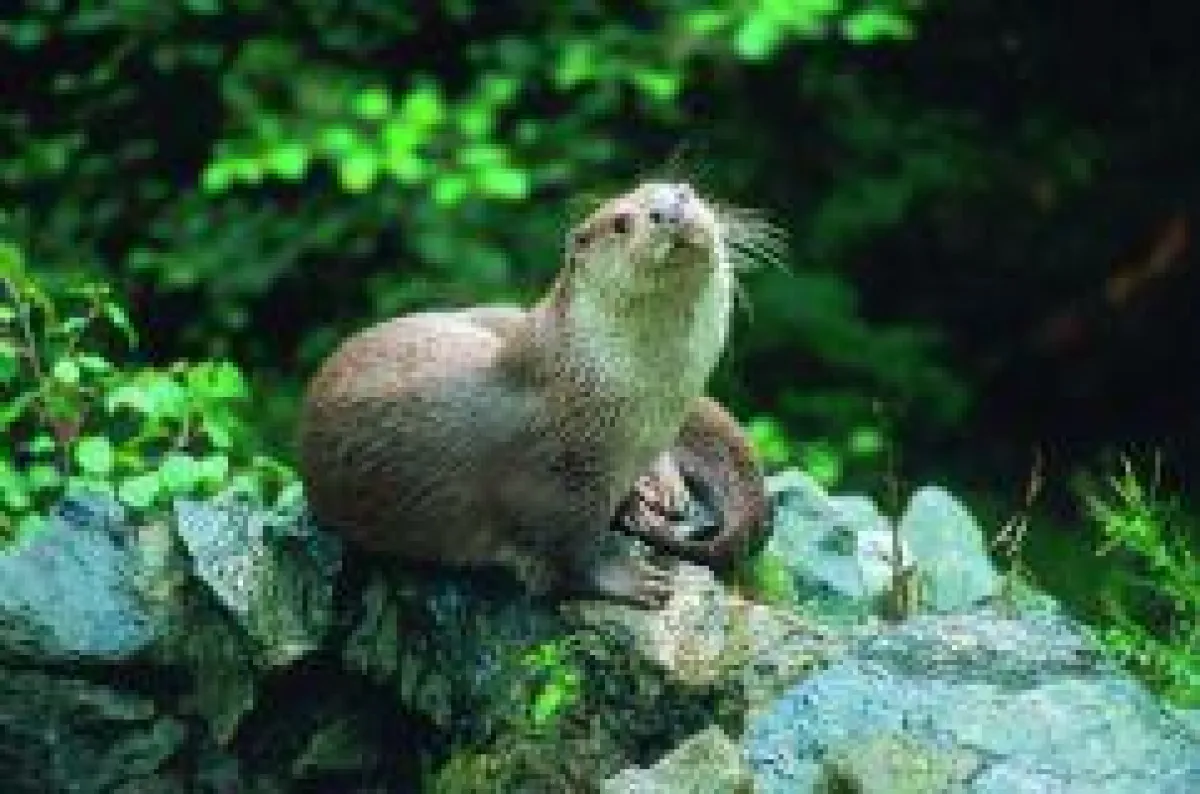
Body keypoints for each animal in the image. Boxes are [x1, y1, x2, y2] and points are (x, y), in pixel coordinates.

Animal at [299, 181, 779, 608]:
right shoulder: (553, 484)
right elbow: (567, 557)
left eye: (683, 192)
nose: (670, 210)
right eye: (622, 222)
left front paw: (636, 506)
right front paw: (629, 578)